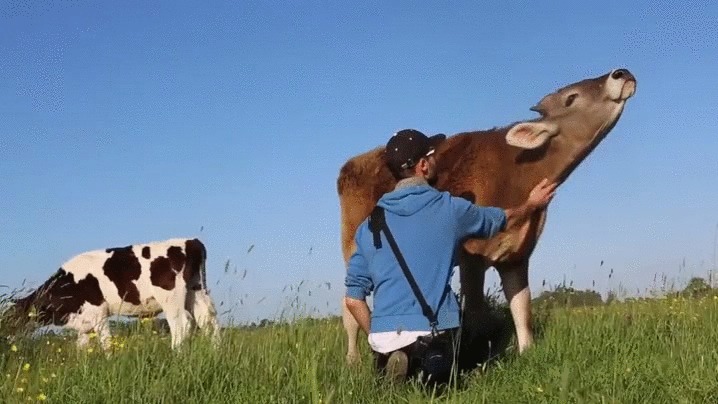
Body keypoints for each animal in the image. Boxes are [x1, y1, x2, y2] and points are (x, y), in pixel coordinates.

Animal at [4, 237, 220, 351]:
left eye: (11, 316)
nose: (4, 334)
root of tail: (190, 241)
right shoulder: (84, 324)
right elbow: (82, 349)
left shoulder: (98, 314)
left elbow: (106, 343)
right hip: (196, 291)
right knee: (209, 322)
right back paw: (216, 351)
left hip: (171, 299)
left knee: (182, 325)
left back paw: (176, 354)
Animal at [337, 68, 637, 364]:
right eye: (571, 98)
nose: (621, 73)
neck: (516, 176)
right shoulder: (471, 252)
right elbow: (475, 313)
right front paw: (477, 359)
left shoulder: (517, 255)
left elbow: (522, 307)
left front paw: (526, 352)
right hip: (351, 244)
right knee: (350, 301)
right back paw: (353, 359)